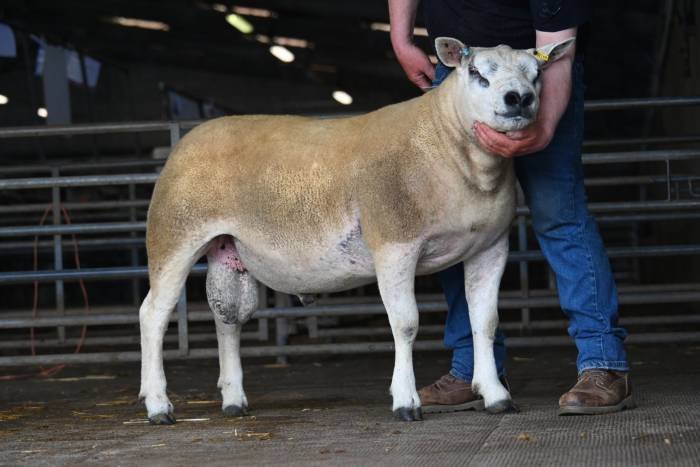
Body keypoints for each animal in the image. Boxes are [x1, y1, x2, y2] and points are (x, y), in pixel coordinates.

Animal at [138, 37, 576, 424]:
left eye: (537, 74)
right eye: (476, 73)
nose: (519, 98)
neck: (446, 143)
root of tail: (190, 138)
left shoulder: (491, 247)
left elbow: (485, 321)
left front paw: (496, 396)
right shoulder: (394, 244)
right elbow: (406, 323)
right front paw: (405, 401)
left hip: (226, 248)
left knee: (227, 320)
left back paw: (233, 400)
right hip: (174, 235)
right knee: (154, 315)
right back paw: (158, 405)